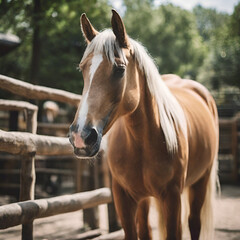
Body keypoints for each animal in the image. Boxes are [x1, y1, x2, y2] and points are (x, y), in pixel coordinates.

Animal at [68, 9, 218, 240]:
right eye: (83, 69)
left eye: (120, 69)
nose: (80, 137)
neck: (143, 142)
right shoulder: (124, 197)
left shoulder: (172, 196)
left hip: (201, 180)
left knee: (194, 223)